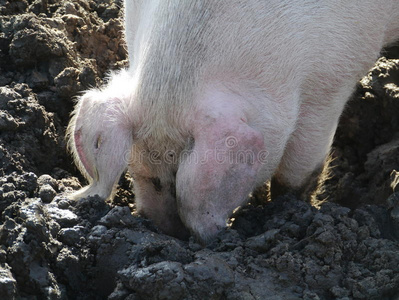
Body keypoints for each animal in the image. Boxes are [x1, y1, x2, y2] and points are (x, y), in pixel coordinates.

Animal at [67, 0, 399, 244]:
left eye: (178, 175)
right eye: (148, 177)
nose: (173, 234)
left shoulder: (334, 79)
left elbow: (299, 170)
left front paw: (291, 209)